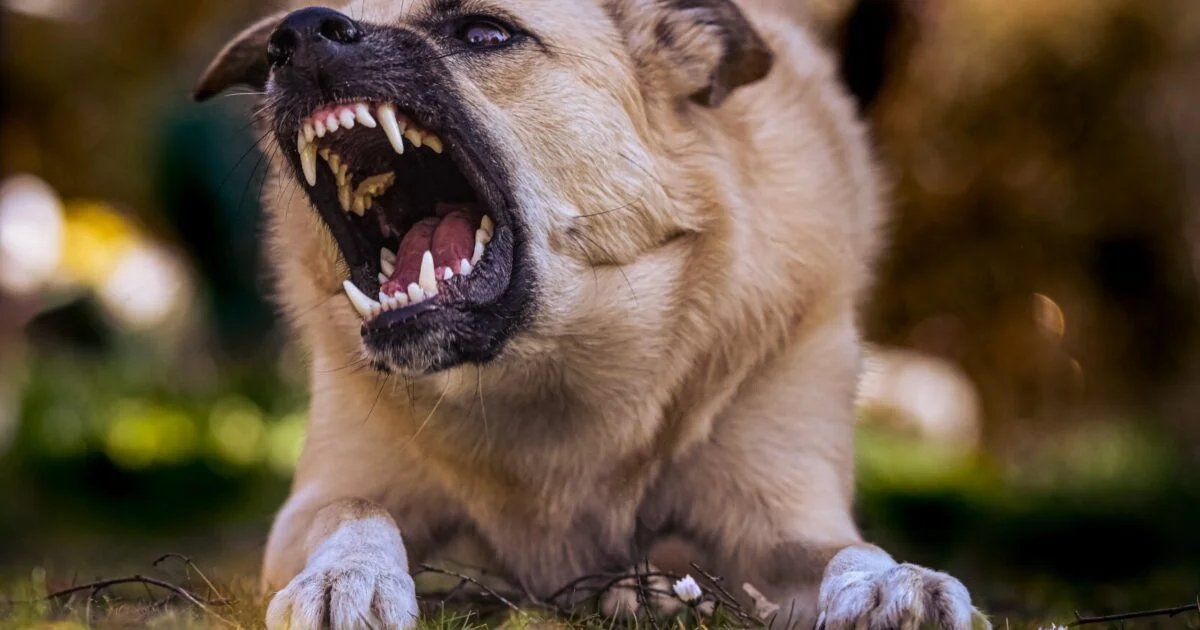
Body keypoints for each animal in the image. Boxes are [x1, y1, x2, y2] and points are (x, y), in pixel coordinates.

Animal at [194, 0, 984, 624]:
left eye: (485, 32)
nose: (296, 34)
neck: (545, 374)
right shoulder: (321, 499)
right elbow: (356, 510)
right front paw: (345, 575)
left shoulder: (781, 518)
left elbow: (848, 549)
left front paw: (893, 584)